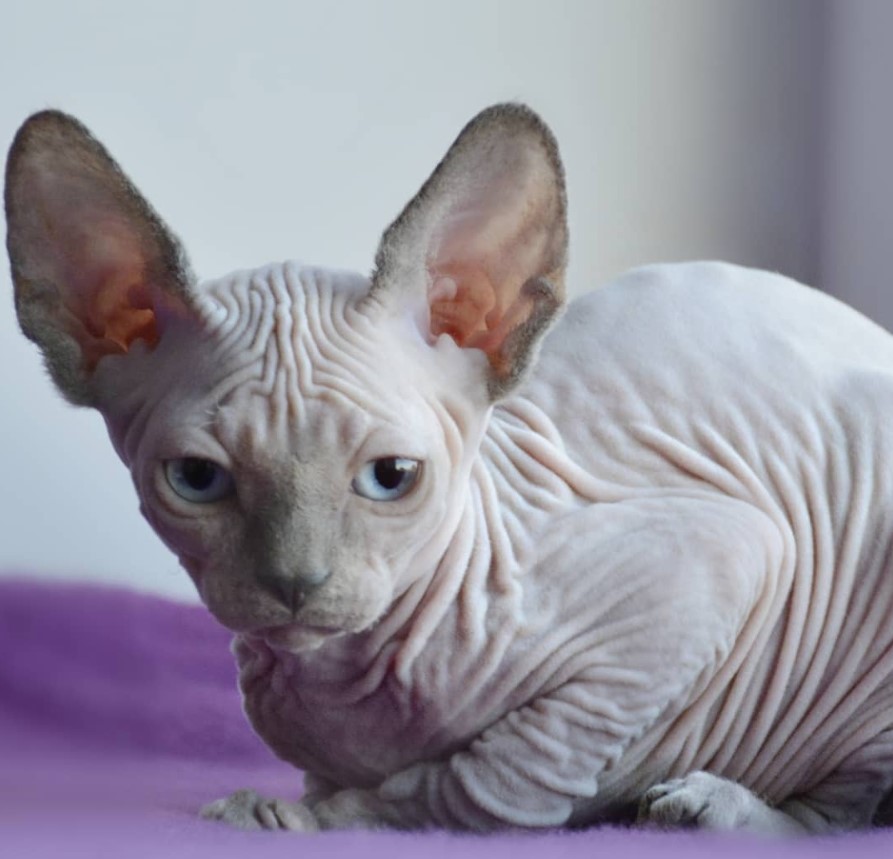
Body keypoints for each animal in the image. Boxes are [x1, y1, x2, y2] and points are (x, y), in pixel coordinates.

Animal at [5, 104, 892, 836]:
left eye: (391, 475)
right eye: (196, 477)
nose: (295, 582)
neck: (339, 680)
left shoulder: (715, 561)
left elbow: (489, 778)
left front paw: (297, 816)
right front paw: (302, 800)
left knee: (845, 811)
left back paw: (711, 803)